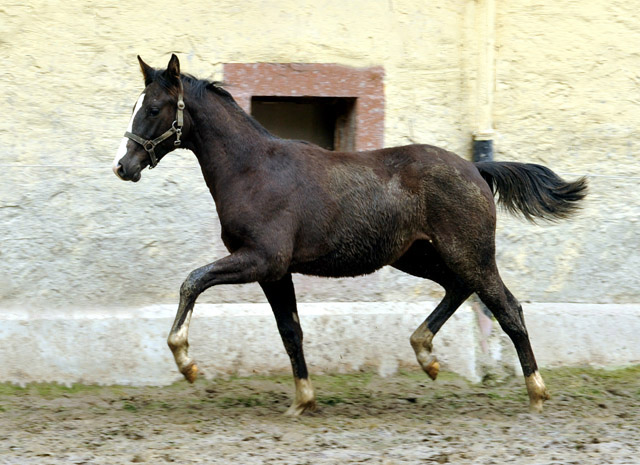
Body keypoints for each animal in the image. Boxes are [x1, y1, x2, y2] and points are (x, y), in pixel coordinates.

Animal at [112, 54, 588, 414]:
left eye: (153, 108)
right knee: (459, 287)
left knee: (508, 308)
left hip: (468, 252)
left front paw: (185, 361)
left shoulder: (262, 259)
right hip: (420, 256)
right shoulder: (276, 272)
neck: (253, 170)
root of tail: (477, 167)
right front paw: (303, 401)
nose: (123, 165)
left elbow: (193, 280)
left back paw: (536, 393)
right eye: (135, 104)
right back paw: (426, 355)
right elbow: (290, 331)